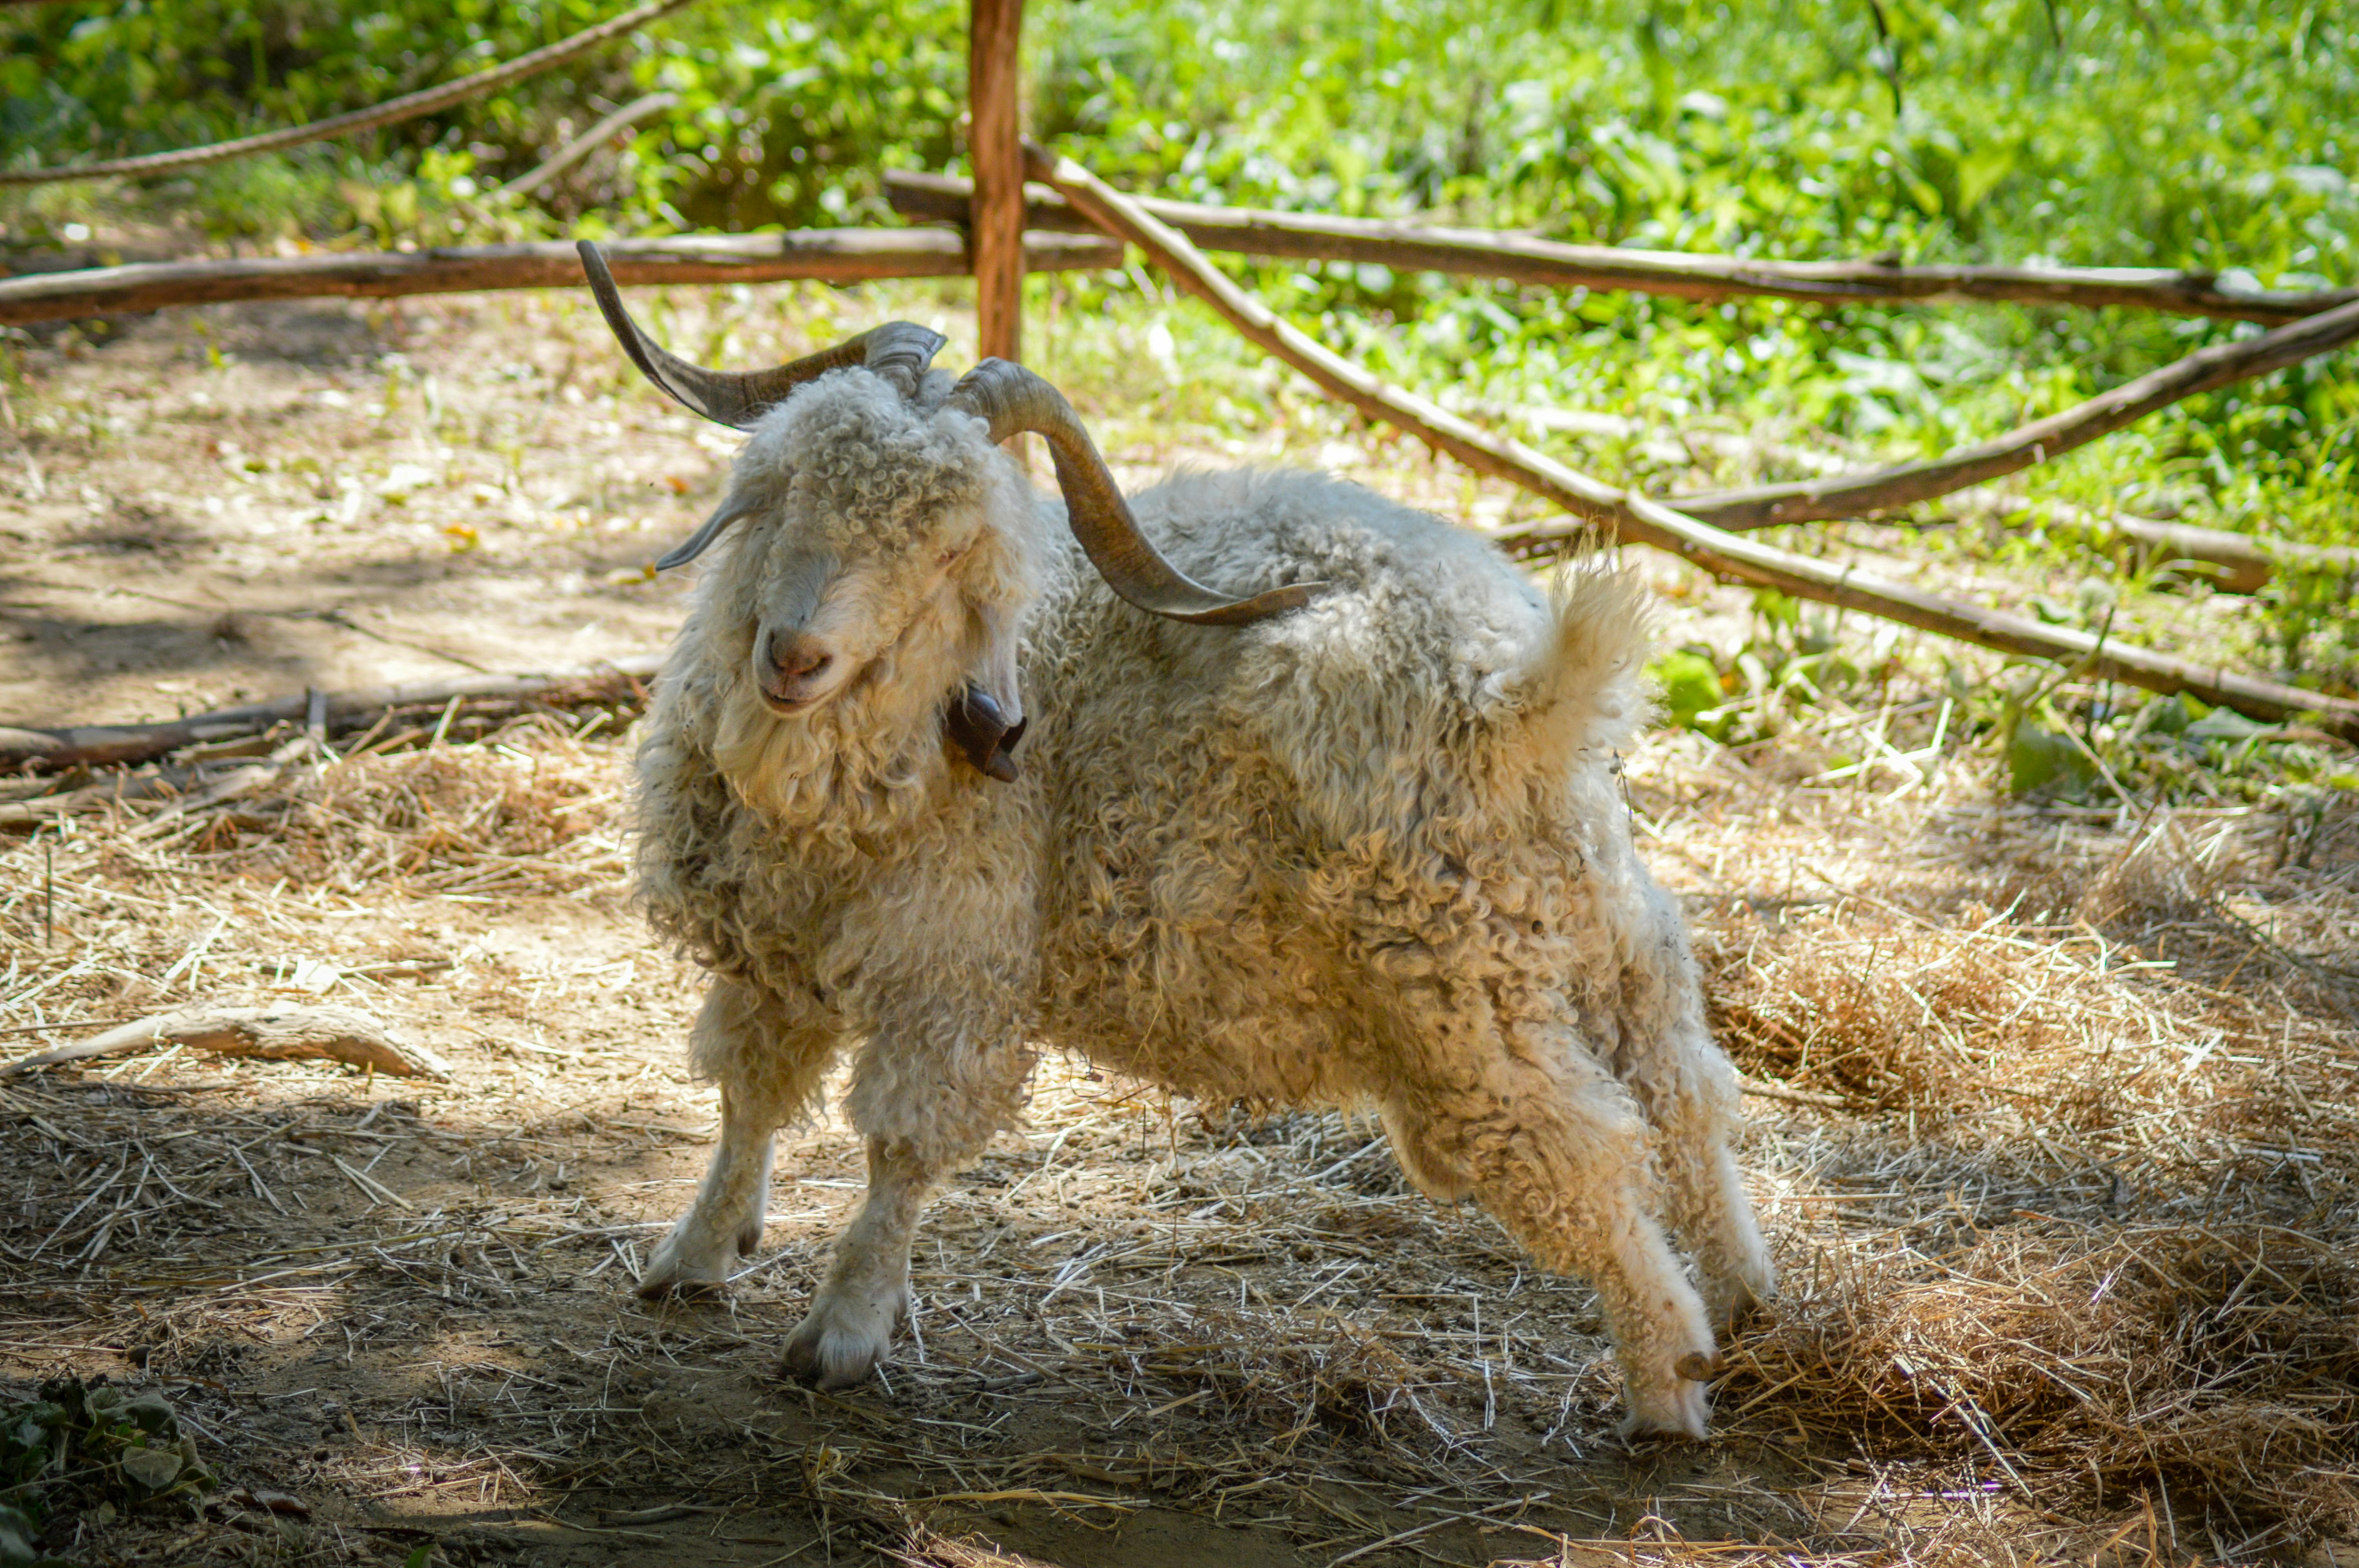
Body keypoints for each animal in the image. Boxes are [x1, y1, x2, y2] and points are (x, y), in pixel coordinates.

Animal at [576, 242, 1773, 1438]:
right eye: (788, 488)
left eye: (950, 550)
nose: (795, 657)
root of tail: (1517, 686)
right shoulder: (775, 944)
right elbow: (749, 1095)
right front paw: (695, 1253)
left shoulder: (953, 965)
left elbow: (903, 1143)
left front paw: (843, 1331)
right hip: (1585, 916)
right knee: (1679, 1082)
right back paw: (1747, 1299)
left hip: (1457, 986)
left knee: (1582, 1149)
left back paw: (1667, 1386)